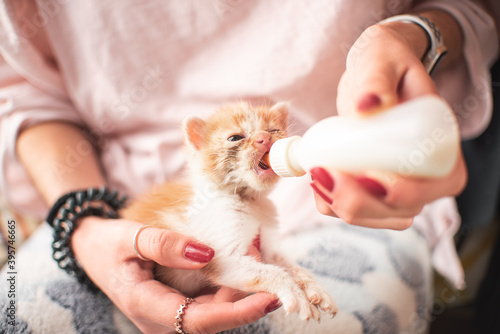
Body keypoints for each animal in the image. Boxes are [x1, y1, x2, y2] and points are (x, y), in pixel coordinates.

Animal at [123, 101, 338, 320]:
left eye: (273, 130)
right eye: (235, 138)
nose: (264, 138)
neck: (249, 200)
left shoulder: (269, 246)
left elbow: (289, 266)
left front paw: (316, 288)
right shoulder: (219, 256)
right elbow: (273, 272)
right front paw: (295, 294)